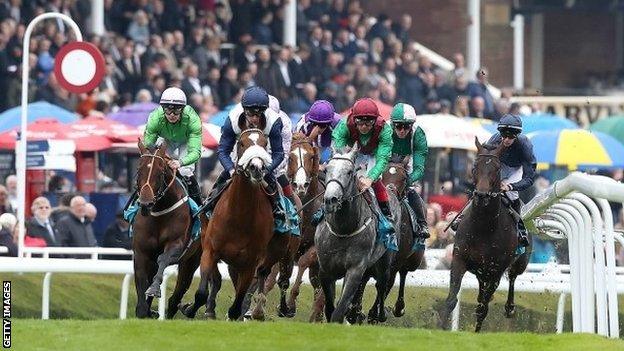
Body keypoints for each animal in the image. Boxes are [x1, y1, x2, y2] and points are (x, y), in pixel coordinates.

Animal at [131, 140, 190, 320]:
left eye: (160, 172)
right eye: (139, 170)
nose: (146, 203)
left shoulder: (176, 243)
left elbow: (163, 259)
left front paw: (154, 289)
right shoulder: (141, 252)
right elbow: (141, 285)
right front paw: (145, 310)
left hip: (192, 259)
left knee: (179, 291)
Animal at [179, 129, 288, 322]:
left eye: (265, 143)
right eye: (241, 143)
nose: (256, 168)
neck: (239, 216)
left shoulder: (250, 262)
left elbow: (237, 305)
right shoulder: (210, 250)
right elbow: (201, 293)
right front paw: (190, 309)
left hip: (273, 253)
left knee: (262, 274)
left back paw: (257, 311)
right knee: (217, 278)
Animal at [316, 146, 400, 324]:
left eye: (349, 172)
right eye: (326, 170)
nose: (331, 199)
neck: (343, 230)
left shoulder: (355, 270)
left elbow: (339, 310)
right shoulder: (325, 270)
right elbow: (330, 307)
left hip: (386, 259)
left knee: (382, 285)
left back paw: (378, 314)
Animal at [438, 138, 532, 332]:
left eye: (496, 169)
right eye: (475, 166)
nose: (481, 195)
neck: (483, 227)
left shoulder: (496, 271)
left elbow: (483, 308)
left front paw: (476, 332)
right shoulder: (459, 259)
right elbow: (451, 300)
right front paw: (440, 328)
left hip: (518, 264)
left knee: (512, 279)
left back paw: (510, 308)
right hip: (481, 272)